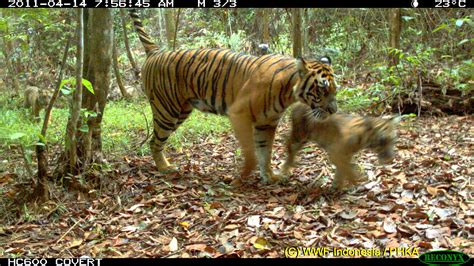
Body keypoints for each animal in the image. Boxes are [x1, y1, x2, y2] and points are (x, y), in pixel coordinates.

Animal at [129, 8, 336, 183]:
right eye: (322, 89)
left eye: (335, 89)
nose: (334, 111)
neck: (288, 93)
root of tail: (156, 51)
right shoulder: (240, 114)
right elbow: (251, 150)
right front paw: (245, 174)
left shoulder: (267, 123)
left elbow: (265, 150)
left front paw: (269, 176)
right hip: (167, 111)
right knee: (154, 141)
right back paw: (164, 167)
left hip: (181, 111)